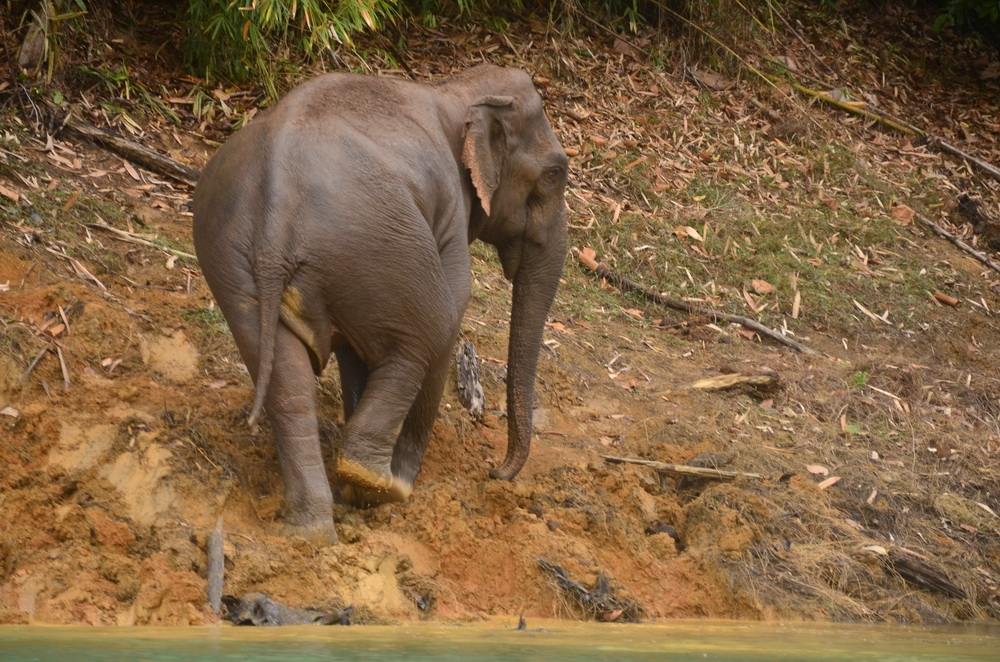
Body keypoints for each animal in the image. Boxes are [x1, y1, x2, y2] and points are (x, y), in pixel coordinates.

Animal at [193, 62, 572, 544]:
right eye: (555, 174)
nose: (495, 471)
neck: (454, 92)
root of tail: (277, 203)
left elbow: (354, 352)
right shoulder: (449, 209)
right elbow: (452, 308)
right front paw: (386, 486)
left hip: (234, 264)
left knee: (286, 385)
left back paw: (310, 530)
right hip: (375, 245)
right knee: (429, 333)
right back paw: (384, 484)